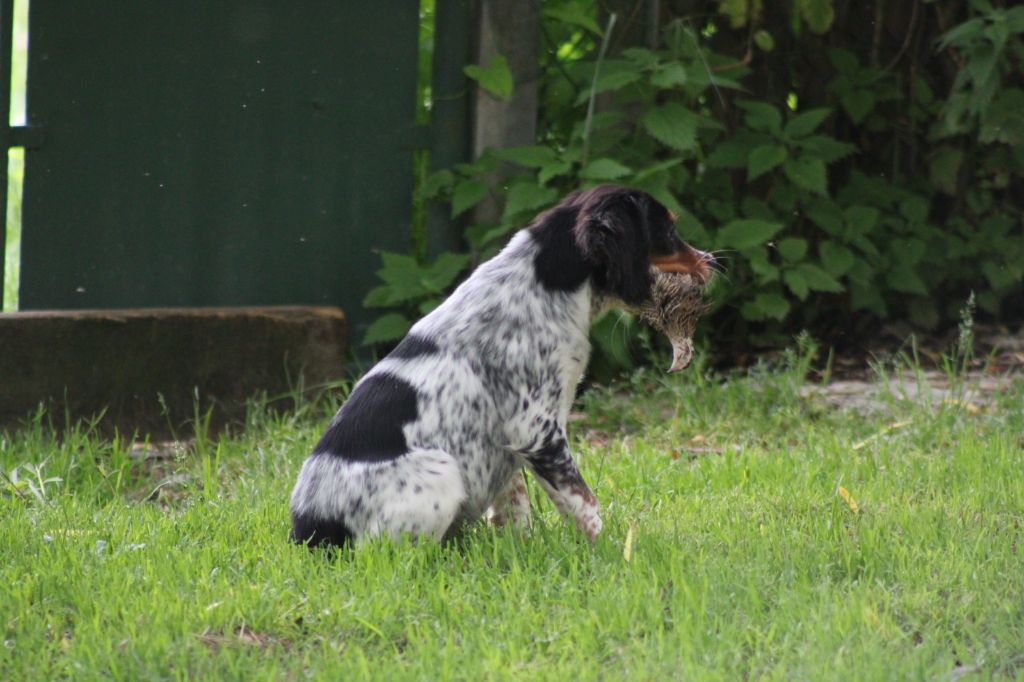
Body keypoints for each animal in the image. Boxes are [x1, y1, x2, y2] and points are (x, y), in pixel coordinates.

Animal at [288, 183, 712, 544]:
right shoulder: (537, 429)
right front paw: (610, 552)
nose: (710, 260)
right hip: (441, 469)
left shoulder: (505, 444)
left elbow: (514, 508)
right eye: (668, 231)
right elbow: (583, 502)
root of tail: (309, 532)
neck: (543, 283)